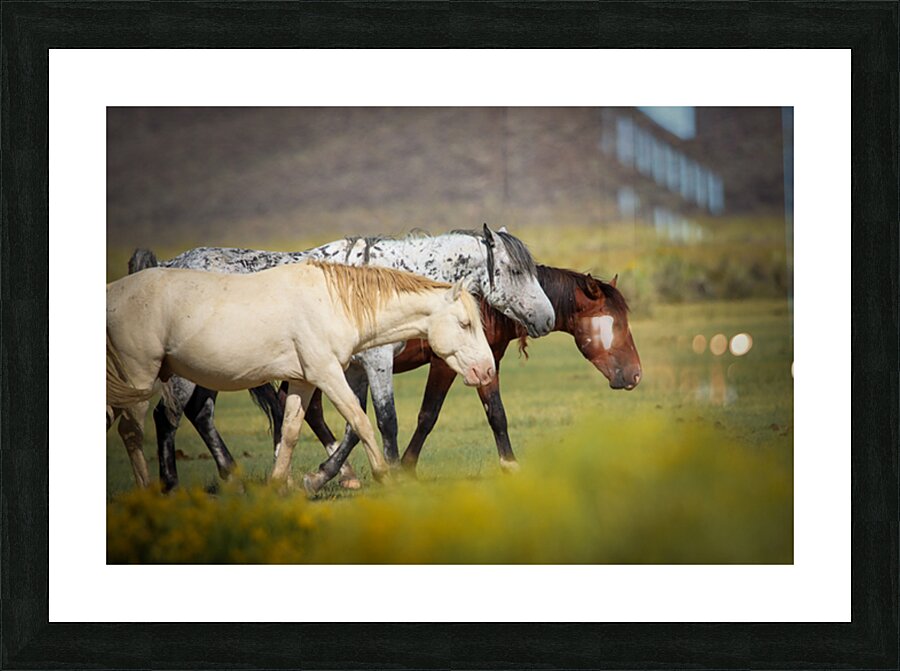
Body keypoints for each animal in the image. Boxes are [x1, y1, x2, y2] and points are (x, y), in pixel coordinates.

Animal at [128, 225, 553, 491]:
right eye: (516, 270)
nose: (547, 318)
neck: (384, 279)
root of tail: (164, 266)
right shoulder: (377, 363)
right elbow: (385, 420)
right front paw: (391, 474)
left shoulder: (356, 369)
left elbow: (354, 424)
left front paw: (322, 476)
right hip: (186, 376)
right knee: (167, 418)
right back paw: (170, 484)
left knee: (199, 414)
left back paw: (233, 476)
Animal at [293, 265, 641, 476]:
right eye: (616, 323)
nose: (636, 374)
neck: (486, 303)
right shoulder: (445, 365)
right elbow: (428, 415)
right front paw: (407, 466)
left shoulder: (489, 364)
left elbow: (496, 414)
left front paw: (509, 466)